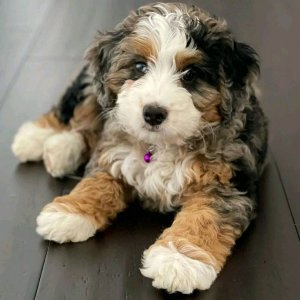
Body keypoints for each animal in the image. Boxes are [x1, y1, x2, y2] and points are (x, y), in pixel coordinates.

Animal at [11, 1, 268, 292]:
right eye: (139, 66)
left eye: (191, 75)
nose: (153, 113)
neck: (161, 145)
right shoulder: (114, 155)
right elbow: (96, 183)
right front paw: (70, 212)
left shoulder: (227, 182)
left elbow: (206, 217)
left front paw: (178, 261)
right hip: (93, 85)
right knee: (79, 106)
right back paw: (37, 137)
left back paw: (60, 150)